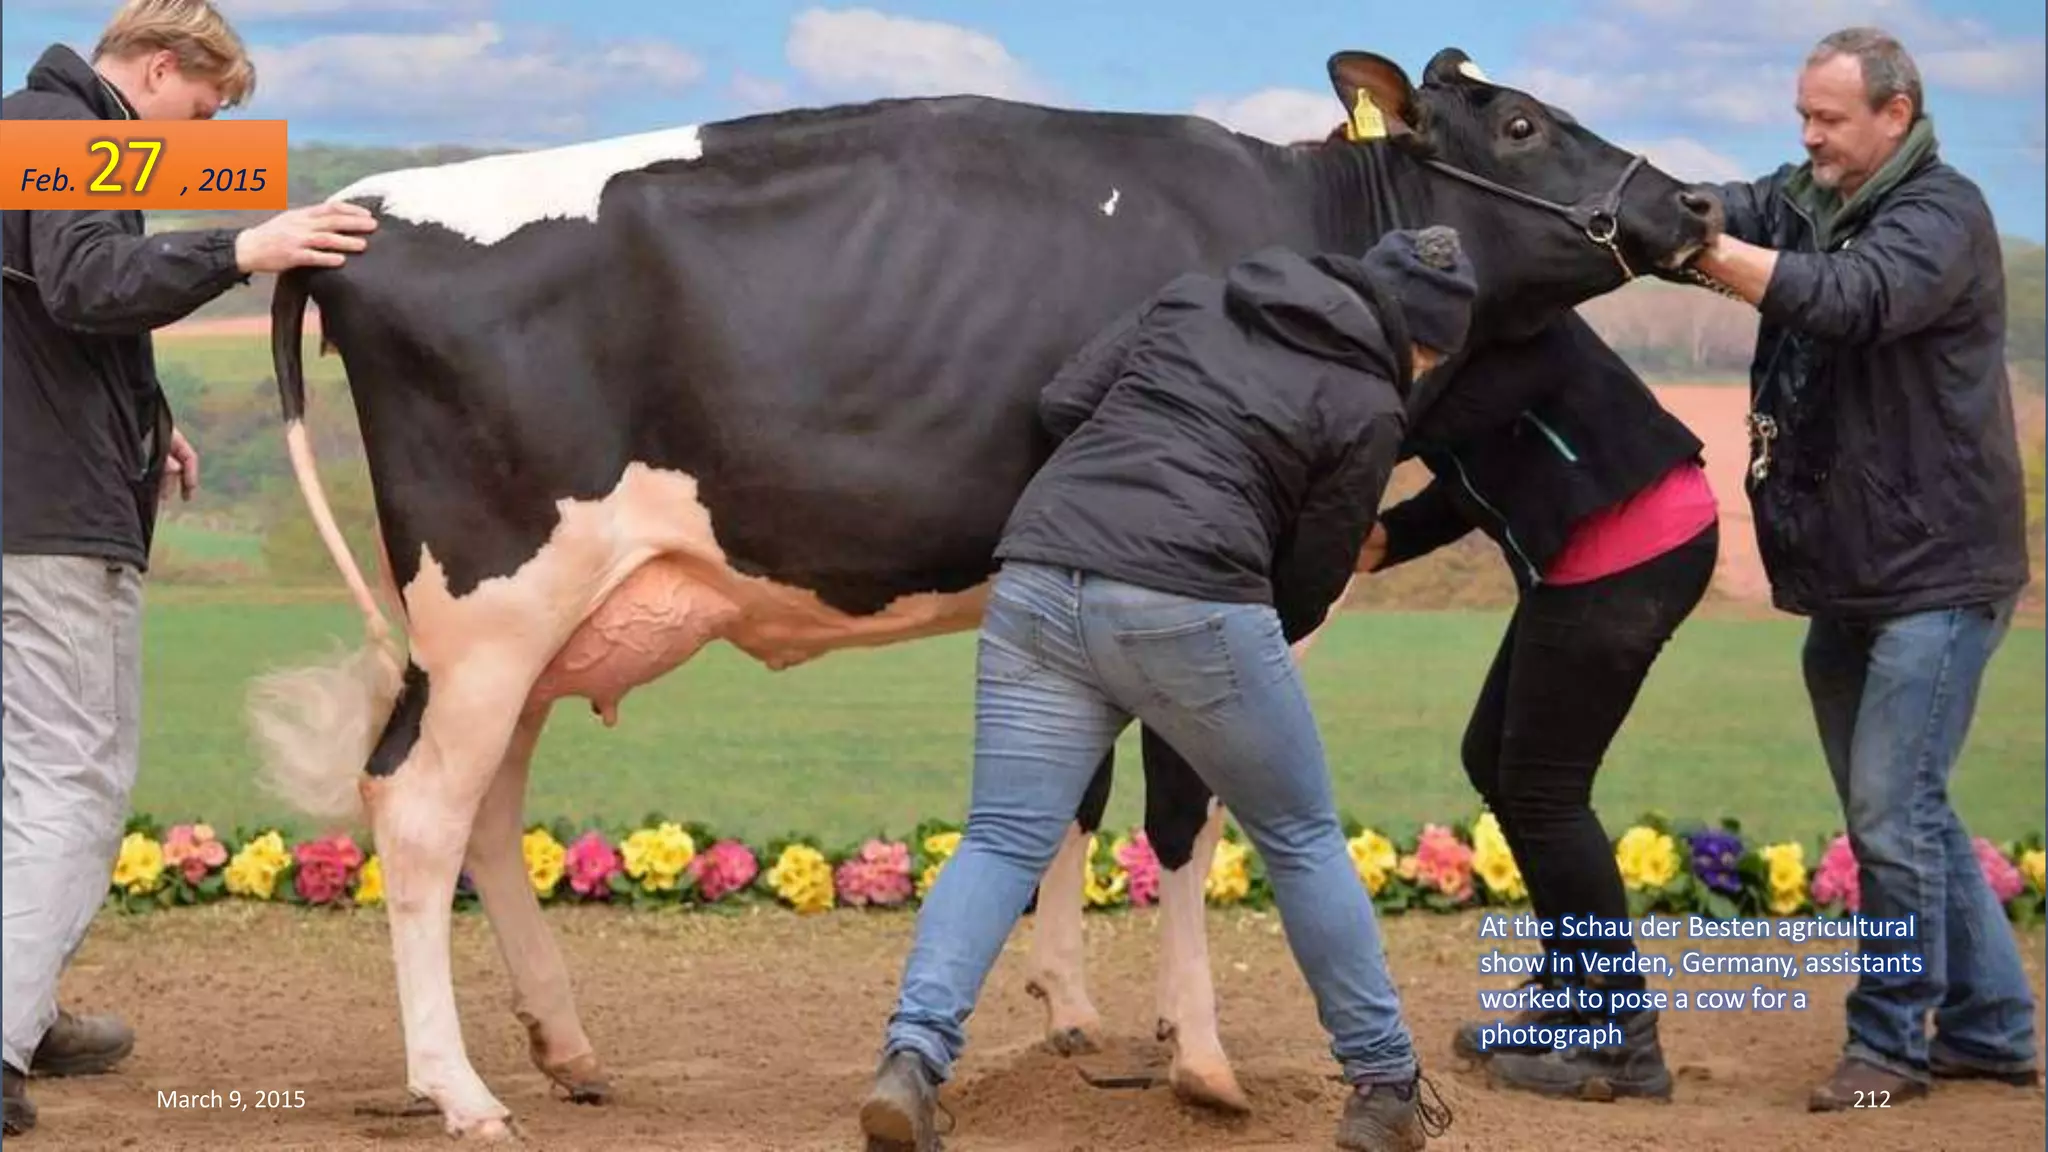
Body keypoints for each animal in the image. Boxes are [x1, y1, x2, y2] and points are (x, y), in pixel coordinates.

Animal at [244, 47, 1720, 1139]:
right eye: (1520, 123)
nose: (1697, 206)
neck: (1298, 230)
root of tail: (371, 221)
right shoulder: (1235, 589)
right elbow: (1183, 817)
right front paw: (1201, 1060)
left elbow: (1071, 793)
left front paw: (1075, 1019)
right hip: (493, 600)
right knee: (420, 809)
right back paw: (462, 1091)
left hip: (532, 627)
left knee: (486, 810)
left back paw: (567, 1050)